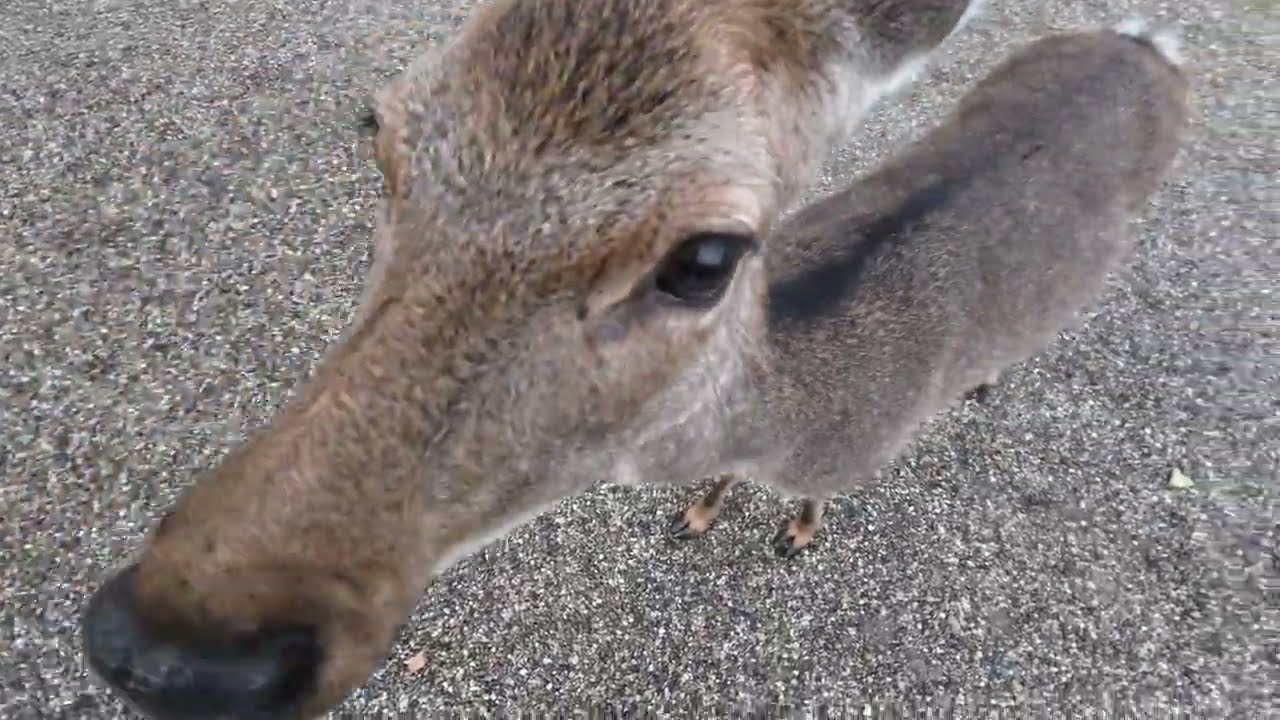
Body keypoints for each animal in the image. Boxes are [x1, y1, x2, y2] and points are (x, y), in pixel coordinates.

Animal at [80, 0, 1189, 716]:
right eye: (378, 130)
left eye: (705, 259)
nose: (174, 651)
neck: (786, 414)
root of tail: (1156, 48)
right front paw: (694, 514)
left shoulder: (851, 457)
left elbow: (809, 509)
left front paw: (790, 536)